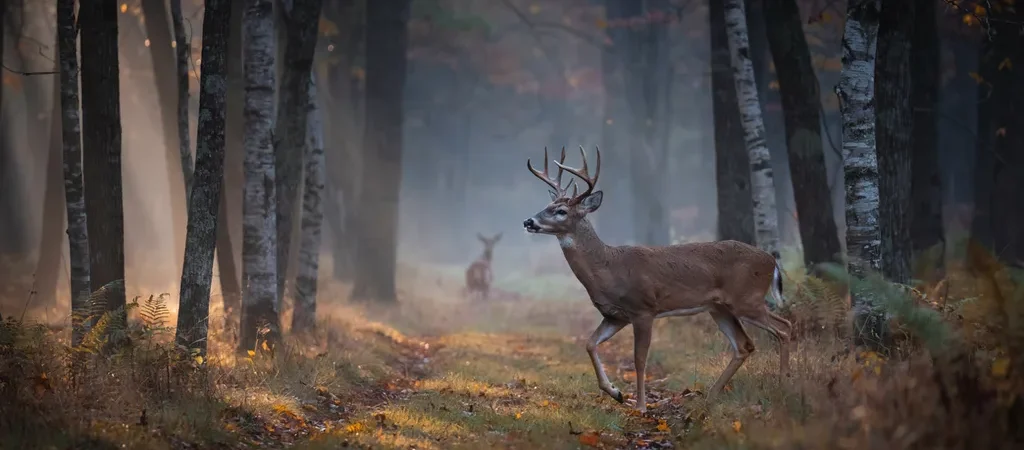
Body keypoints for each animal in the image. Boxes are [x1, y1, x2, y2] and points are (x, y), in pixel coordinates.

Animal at [522, 146, 792, 413]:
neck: (609, 268)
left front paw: (640, 406)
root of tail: (771, 260)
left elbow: (639, 359)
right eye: (547, 204)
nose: (528, 221)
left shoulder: (644, 309)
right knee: (744, 344)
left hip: (746, 298)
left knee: (784, 327)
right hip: (719, 307)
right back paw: (710, 397)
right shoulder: (615, 315)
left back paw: (782, 386)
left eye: (561, 211)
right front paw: (616, 393)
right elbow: (590, 343)